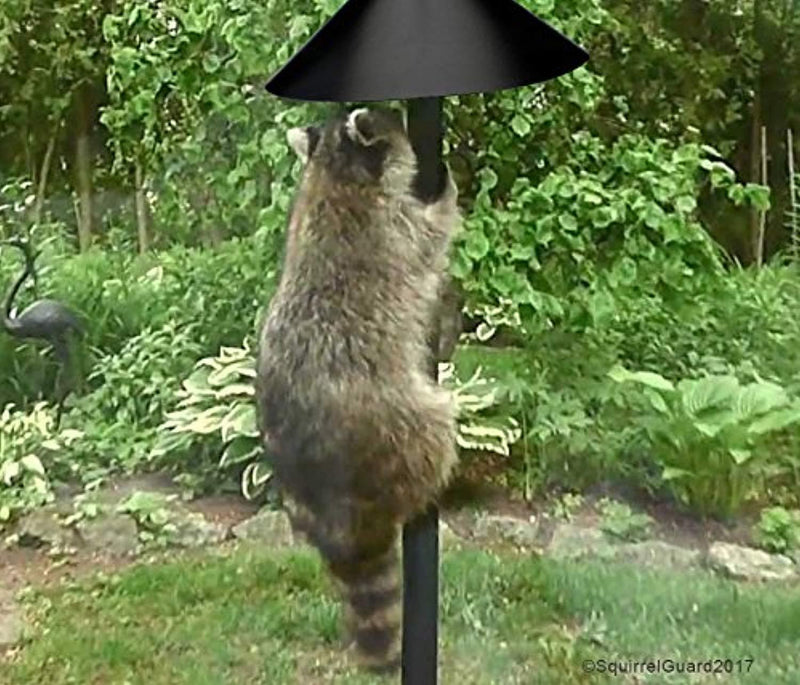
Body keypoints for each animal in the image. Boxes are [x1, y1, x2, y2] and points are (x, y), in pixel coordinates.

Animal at [255, 106, 460, 674]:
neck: (333, 169)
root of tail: (338, 523)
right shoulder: (390, 226)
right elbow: (431, 235)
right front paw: (449, 191)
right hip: (395, 426)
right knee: (436, 429)